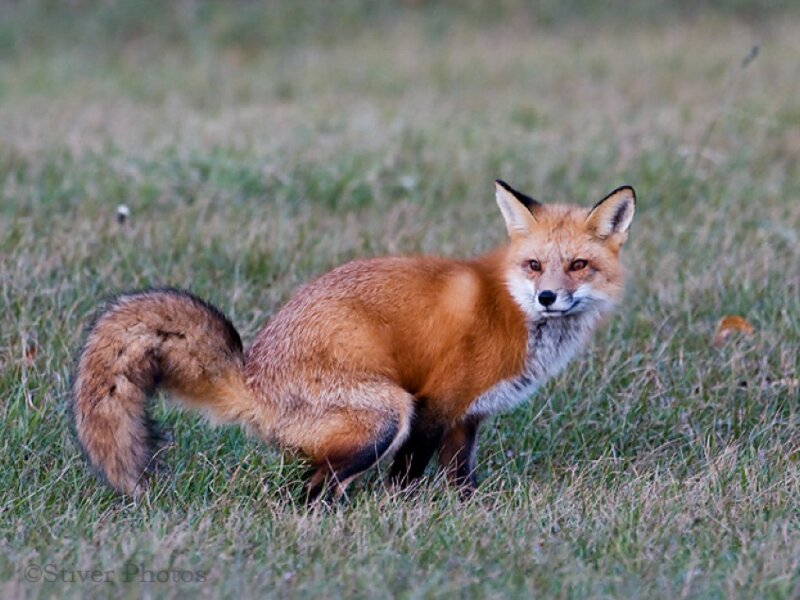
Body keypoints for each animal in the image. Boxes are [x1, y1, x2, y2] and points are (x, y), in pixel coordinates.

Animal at [71, 180, 636, 501]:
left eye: (578, 265)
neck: (511, 310)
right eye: (535, 265)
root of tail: (251, 375)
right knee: (307, 492)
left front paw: (472, 513)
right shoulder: (433, 404)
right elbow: (405, 478)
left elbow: (462, 480)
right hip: (386, 412)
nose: (547, 297)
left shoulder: (467, 417)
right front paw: (402, 516)